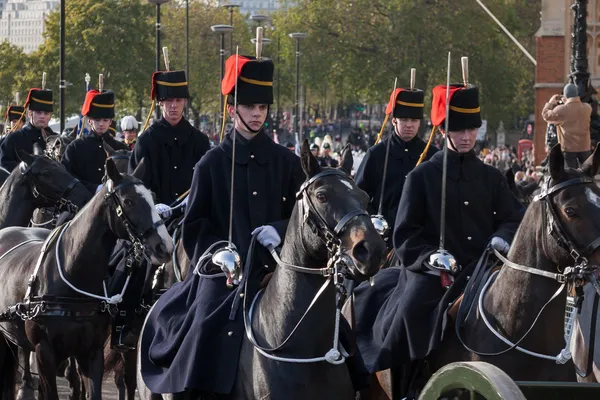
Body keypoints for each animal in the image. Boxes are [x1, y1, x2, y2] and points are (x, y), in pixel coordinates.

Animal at [0, 158, 173, 398]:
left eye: (153, 198)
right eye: (128, 201)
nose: (164, 246)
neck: (71, 276)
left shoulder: (92, 353)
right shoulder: (45, 353)